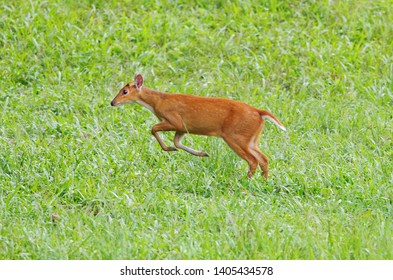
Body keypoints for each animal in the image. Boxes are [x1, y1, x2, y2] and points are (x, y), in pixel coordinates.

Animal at [110, 74, 284, 179]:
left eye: (124, 91)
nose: (112, 102)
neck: (157, 101)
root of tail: (259, 112)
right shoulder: (183, 128)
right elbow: (177, 142)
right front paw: (202, 153)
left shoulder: (175, 120)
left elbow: (153, 128)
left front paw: (169, 149)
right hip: (250, 138)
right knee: (264, 158)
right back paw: (264, 180)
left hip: (235, 136)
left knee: (253, 160)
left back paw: (246, 180)